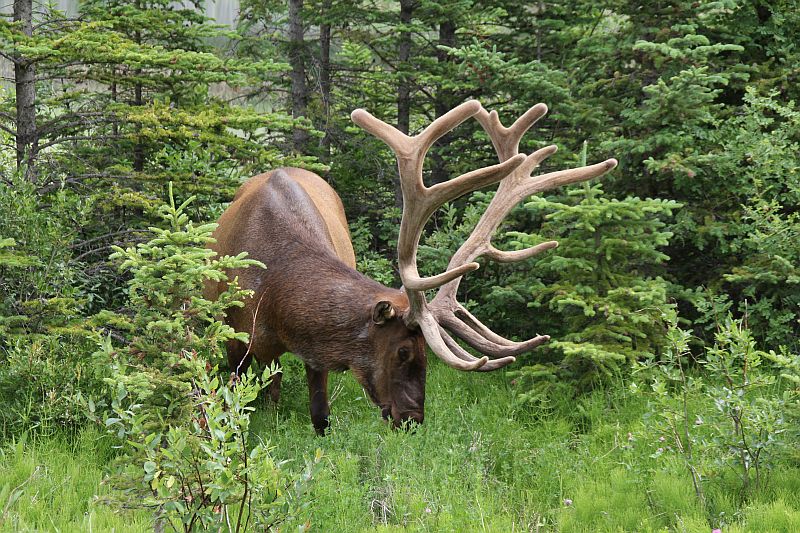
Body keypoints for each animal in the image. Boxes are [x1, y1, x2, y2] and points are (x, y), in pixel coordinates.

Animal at [208, 100, 620, 432]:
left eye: (426, 354)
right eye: (403, 351)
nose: (412, 420)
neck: (274, 300)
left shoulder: (315, 353)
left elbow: (320, 418)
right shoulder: (233, 341)